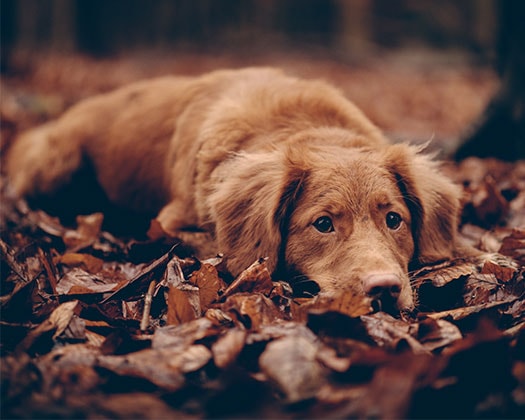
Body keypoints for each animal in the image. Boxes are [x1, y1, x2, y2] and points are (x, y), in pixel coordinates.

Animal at [6, 67, 466, 312]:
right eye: (322, 224)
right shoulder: (171, 220)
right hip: (56, 164)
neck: (305, 126)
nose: (385, 288)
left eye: (394, 219)